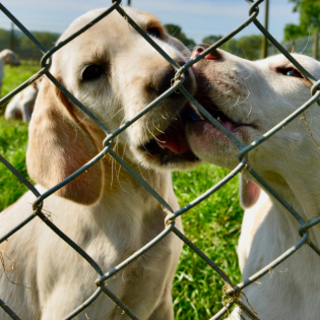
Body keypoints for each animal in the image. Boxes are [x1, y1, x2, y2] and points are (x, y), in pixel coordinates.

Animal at [0, 7, 200, 320]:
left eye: (154, 32)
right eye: (91, 72)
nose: (174, 76)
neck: (140, 204)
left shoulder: (162, 300)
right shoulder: (76, 305)